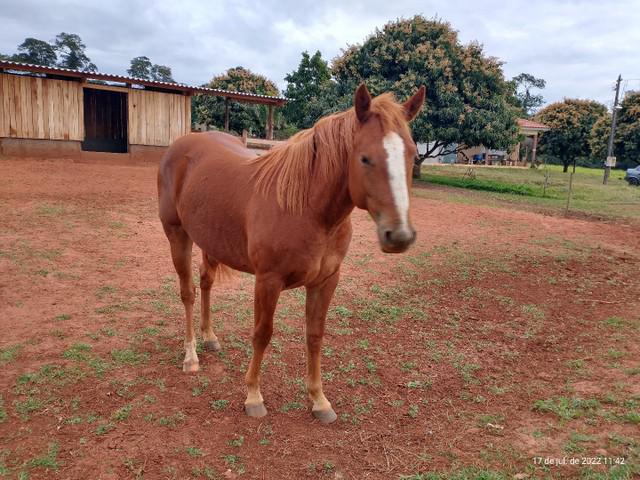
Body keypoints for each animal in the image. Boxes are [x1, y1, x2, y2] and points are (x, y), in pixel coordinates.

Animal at [156, 84, 424, 422]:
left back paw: (209, 337)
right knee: (187, 292)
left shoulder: (326, 281)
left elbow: (314, 335)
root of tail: (182, 145)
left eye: (412, 155)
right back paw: (191, 356)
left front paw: (319, 400)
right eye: (365, 158)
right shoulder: (268, 281)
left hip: (210, 240)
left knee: (205, 282)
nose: (399, 235)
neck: (306, 209)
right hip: (178, 235)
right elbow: (262, 333)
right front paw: (253, 396)